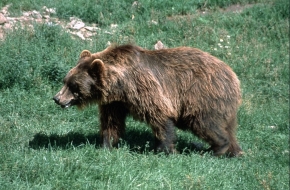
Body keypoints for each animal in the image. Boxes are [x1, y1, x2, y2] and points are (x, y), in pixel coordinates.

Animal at [53, 44, 242, 157]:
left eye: (74, 85)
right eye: (65, 80)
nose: (57, 98)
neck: (120, 85)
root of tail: (233, 76)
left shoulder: (144, 88)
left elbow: (160, 116)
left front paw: (163, 149)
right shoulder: (115, 103)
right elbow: (111, 123)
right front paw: (106, 145)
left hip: (201, 95)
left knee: (204, 123)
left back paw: (216, 149)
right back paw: (234, 151)